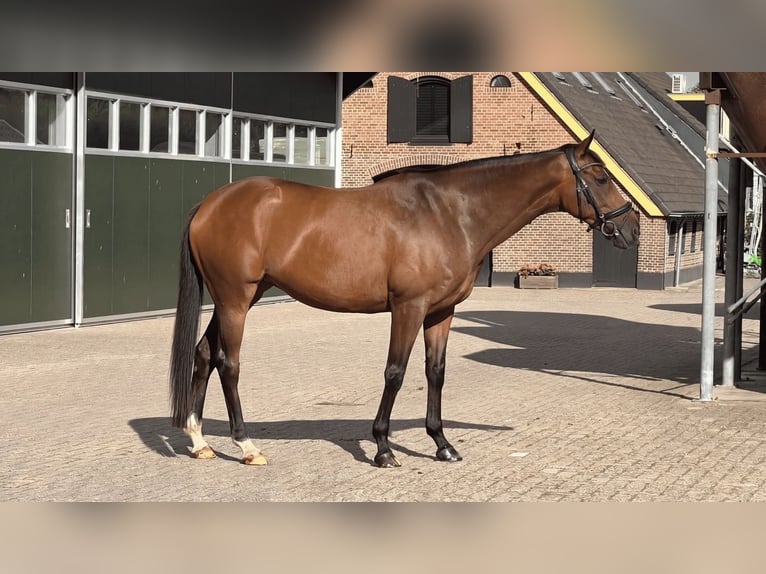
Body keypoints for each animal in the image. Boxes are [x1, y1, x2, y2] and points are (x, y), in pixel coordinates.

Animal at [169, 130, 640, 467]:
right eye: (600, 176)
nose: (631, 228)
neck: (449, 213)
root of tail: (209, 205)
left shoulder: (441, 312)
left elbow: (436, 372)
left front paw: (442, 444)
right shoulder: (408, 307)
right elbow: (395, 372)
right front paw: (383, 448)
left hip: (239, 299)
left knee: (203, 354)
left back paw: (198, 441)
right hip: (235, 299)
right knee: (229, 364)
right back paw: (247, 446)